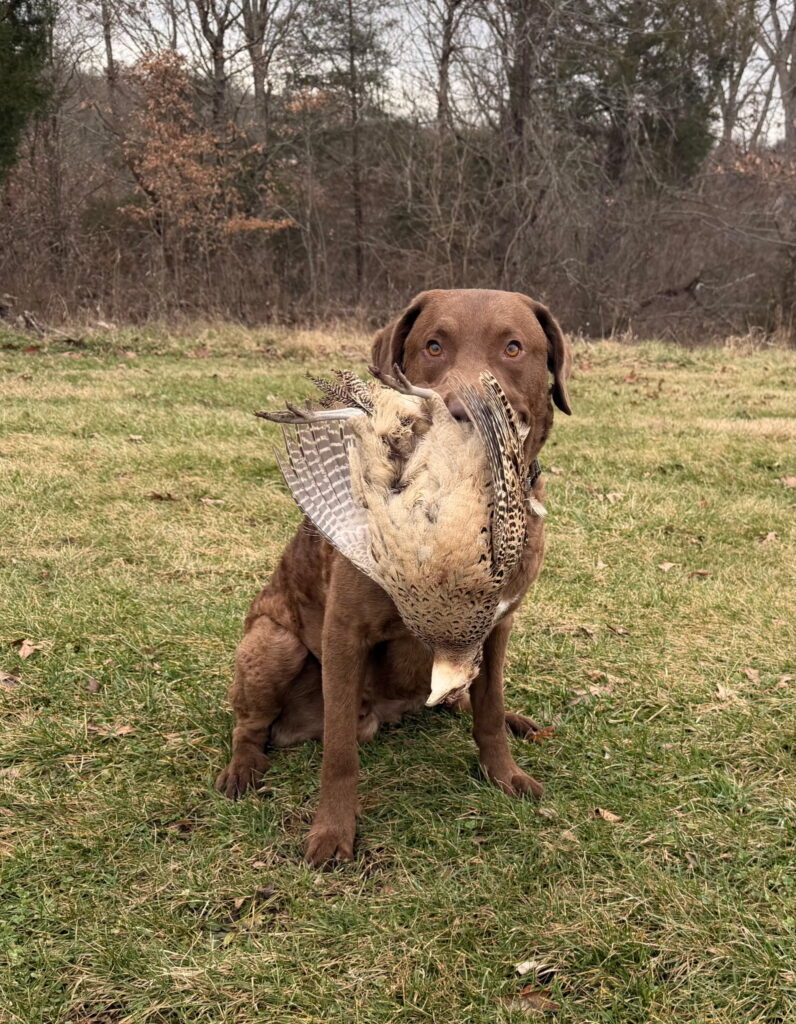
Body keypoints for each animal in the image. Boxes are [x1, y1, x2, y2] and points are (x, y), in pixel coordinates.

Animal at [215, 289, 572, 865]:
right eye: (434, 344)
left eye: (514, 347)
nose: (460, 413)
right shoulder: (345, 631)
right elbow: (339, 752)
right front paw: (333, 831)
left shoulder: (498, 627)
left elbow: (489, 710)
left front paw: (505, 773)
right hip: (272, 642)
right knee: (249, 727)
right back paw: (243, 769)